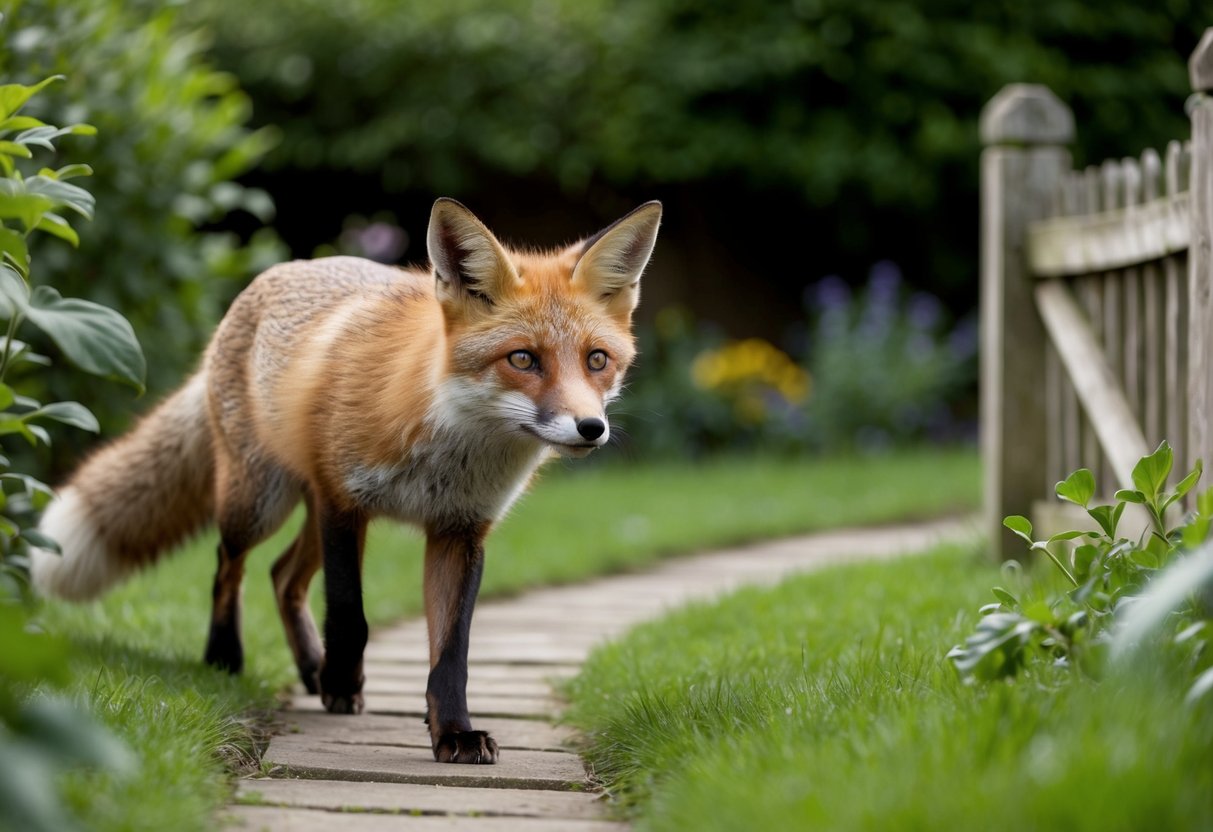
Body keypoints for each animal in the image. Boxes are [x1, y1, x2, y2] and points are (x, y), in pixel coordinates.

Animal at [29, 197, 662, 764]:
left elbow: (451, 652)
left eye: (597, 360)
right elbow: (350, 617)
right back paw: (228, 658)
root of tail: (273, 275)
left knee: (283, 576)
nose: (591, 428)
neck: (445, 441)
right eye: (524, 359)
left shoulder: (459, 530)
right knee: (228, 566)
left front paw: (452, 732)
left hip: (305, 512)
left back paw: (309, 666)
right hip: (260, 502)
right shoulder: (345, 503)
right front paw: (341, 683)